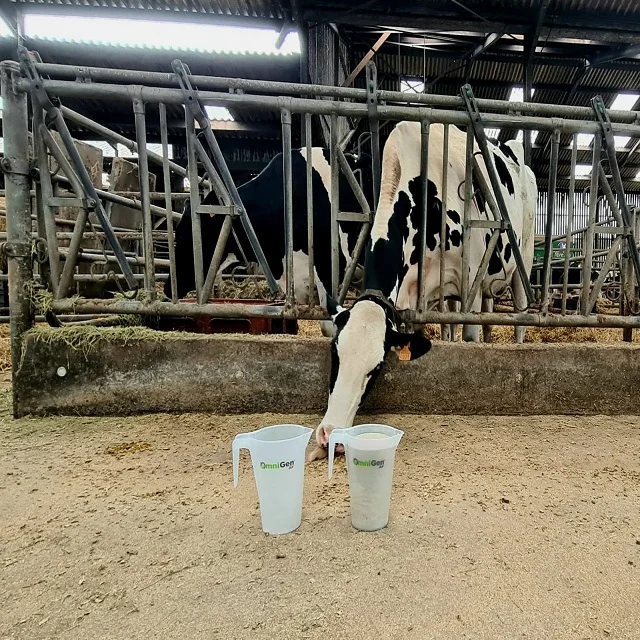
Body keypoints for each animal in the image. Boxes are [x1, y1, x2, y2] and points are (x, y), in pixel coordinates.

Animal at [307, 122, 538, 462]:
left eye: (375, 369)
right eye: (334, 353)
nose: (328, 435)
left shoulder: (470, 277)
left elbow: (469, 337)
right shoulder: (415, 293)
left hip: (525, 258)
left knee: (520, 311)